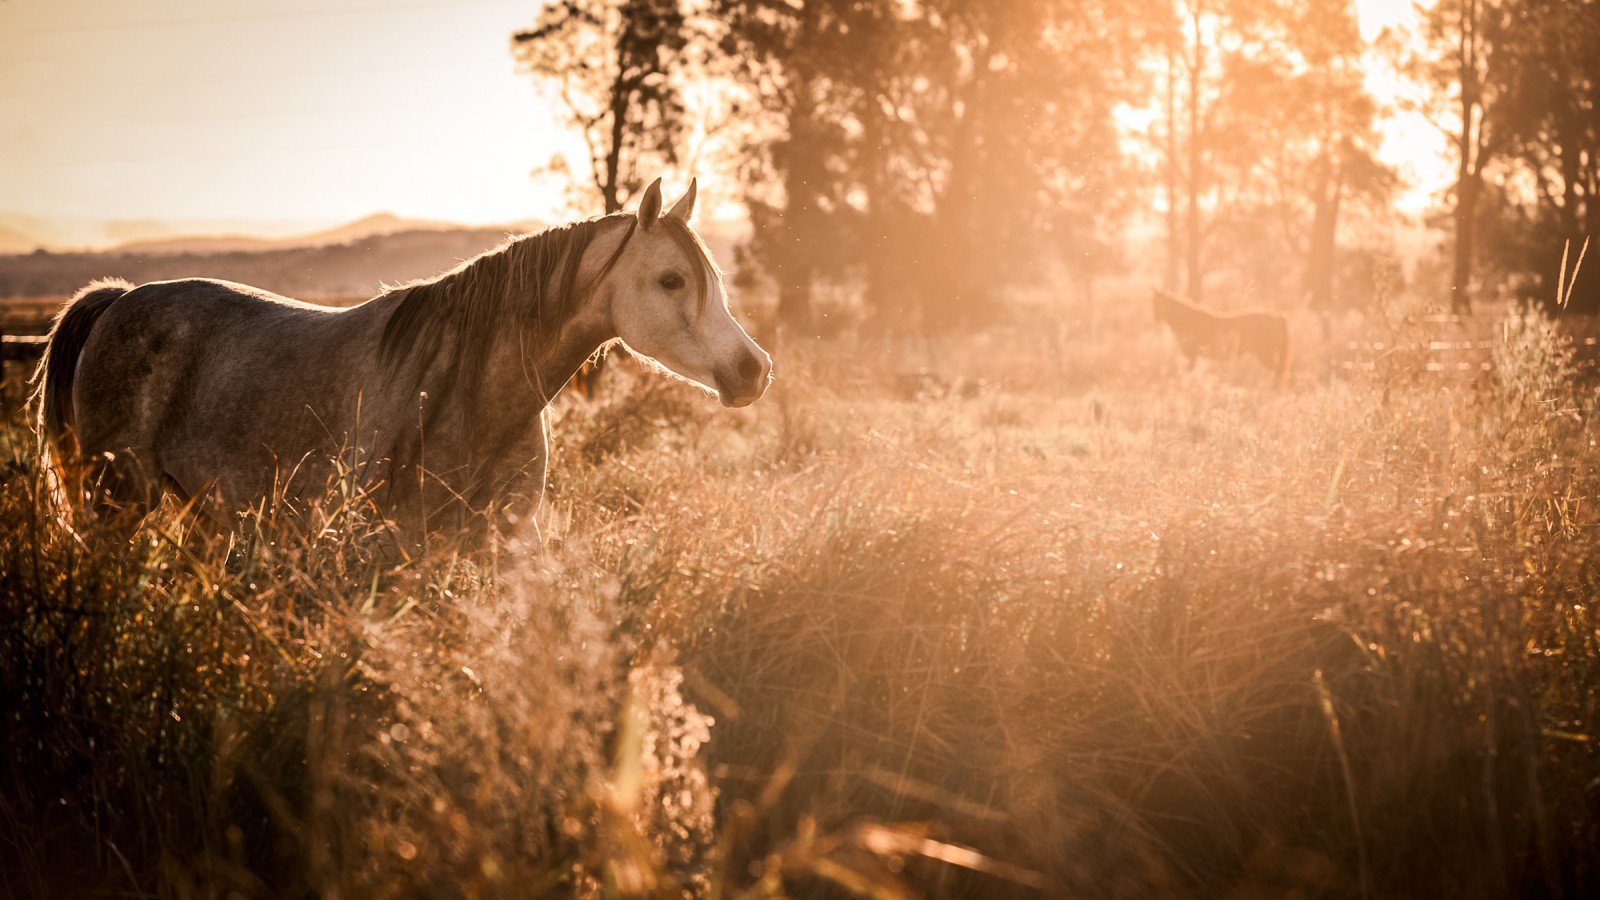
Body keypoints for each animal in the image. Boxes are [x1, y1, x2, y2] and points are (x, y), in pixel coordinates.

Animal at [29, 177, 768, 534]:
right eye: (671, 281)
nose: (755, 371)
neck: (472, 390)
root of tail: (118, 299)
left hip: (198, 514)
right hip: (116, 504)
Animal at [1152, 286, 1286, 385]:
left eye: (1162, 304)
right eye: (1153, 303)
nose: (1156, 318)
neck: (1189, 319)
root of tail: (1277, 316)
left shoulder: (1192, 355)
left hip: (1266, 355)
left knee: (1279, 374)